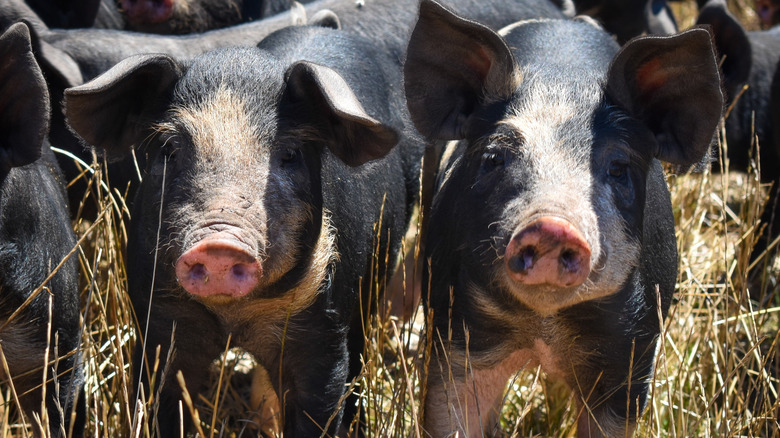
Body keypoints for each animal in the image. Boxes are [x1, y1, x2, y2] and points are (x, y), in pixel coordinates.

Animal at [64, 22, 422, 436]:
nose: (219, 244)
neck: (235, 318)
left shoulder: (323, 335)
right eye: (170, 147)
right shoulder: (158, 322)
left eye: (289, 154)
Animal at [404, 1, 723, 436]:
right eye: (494, 157)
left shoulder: (632, 359)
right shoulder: (455, 337)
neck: (544, 328)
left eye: (618, 168)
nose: (551, 225)